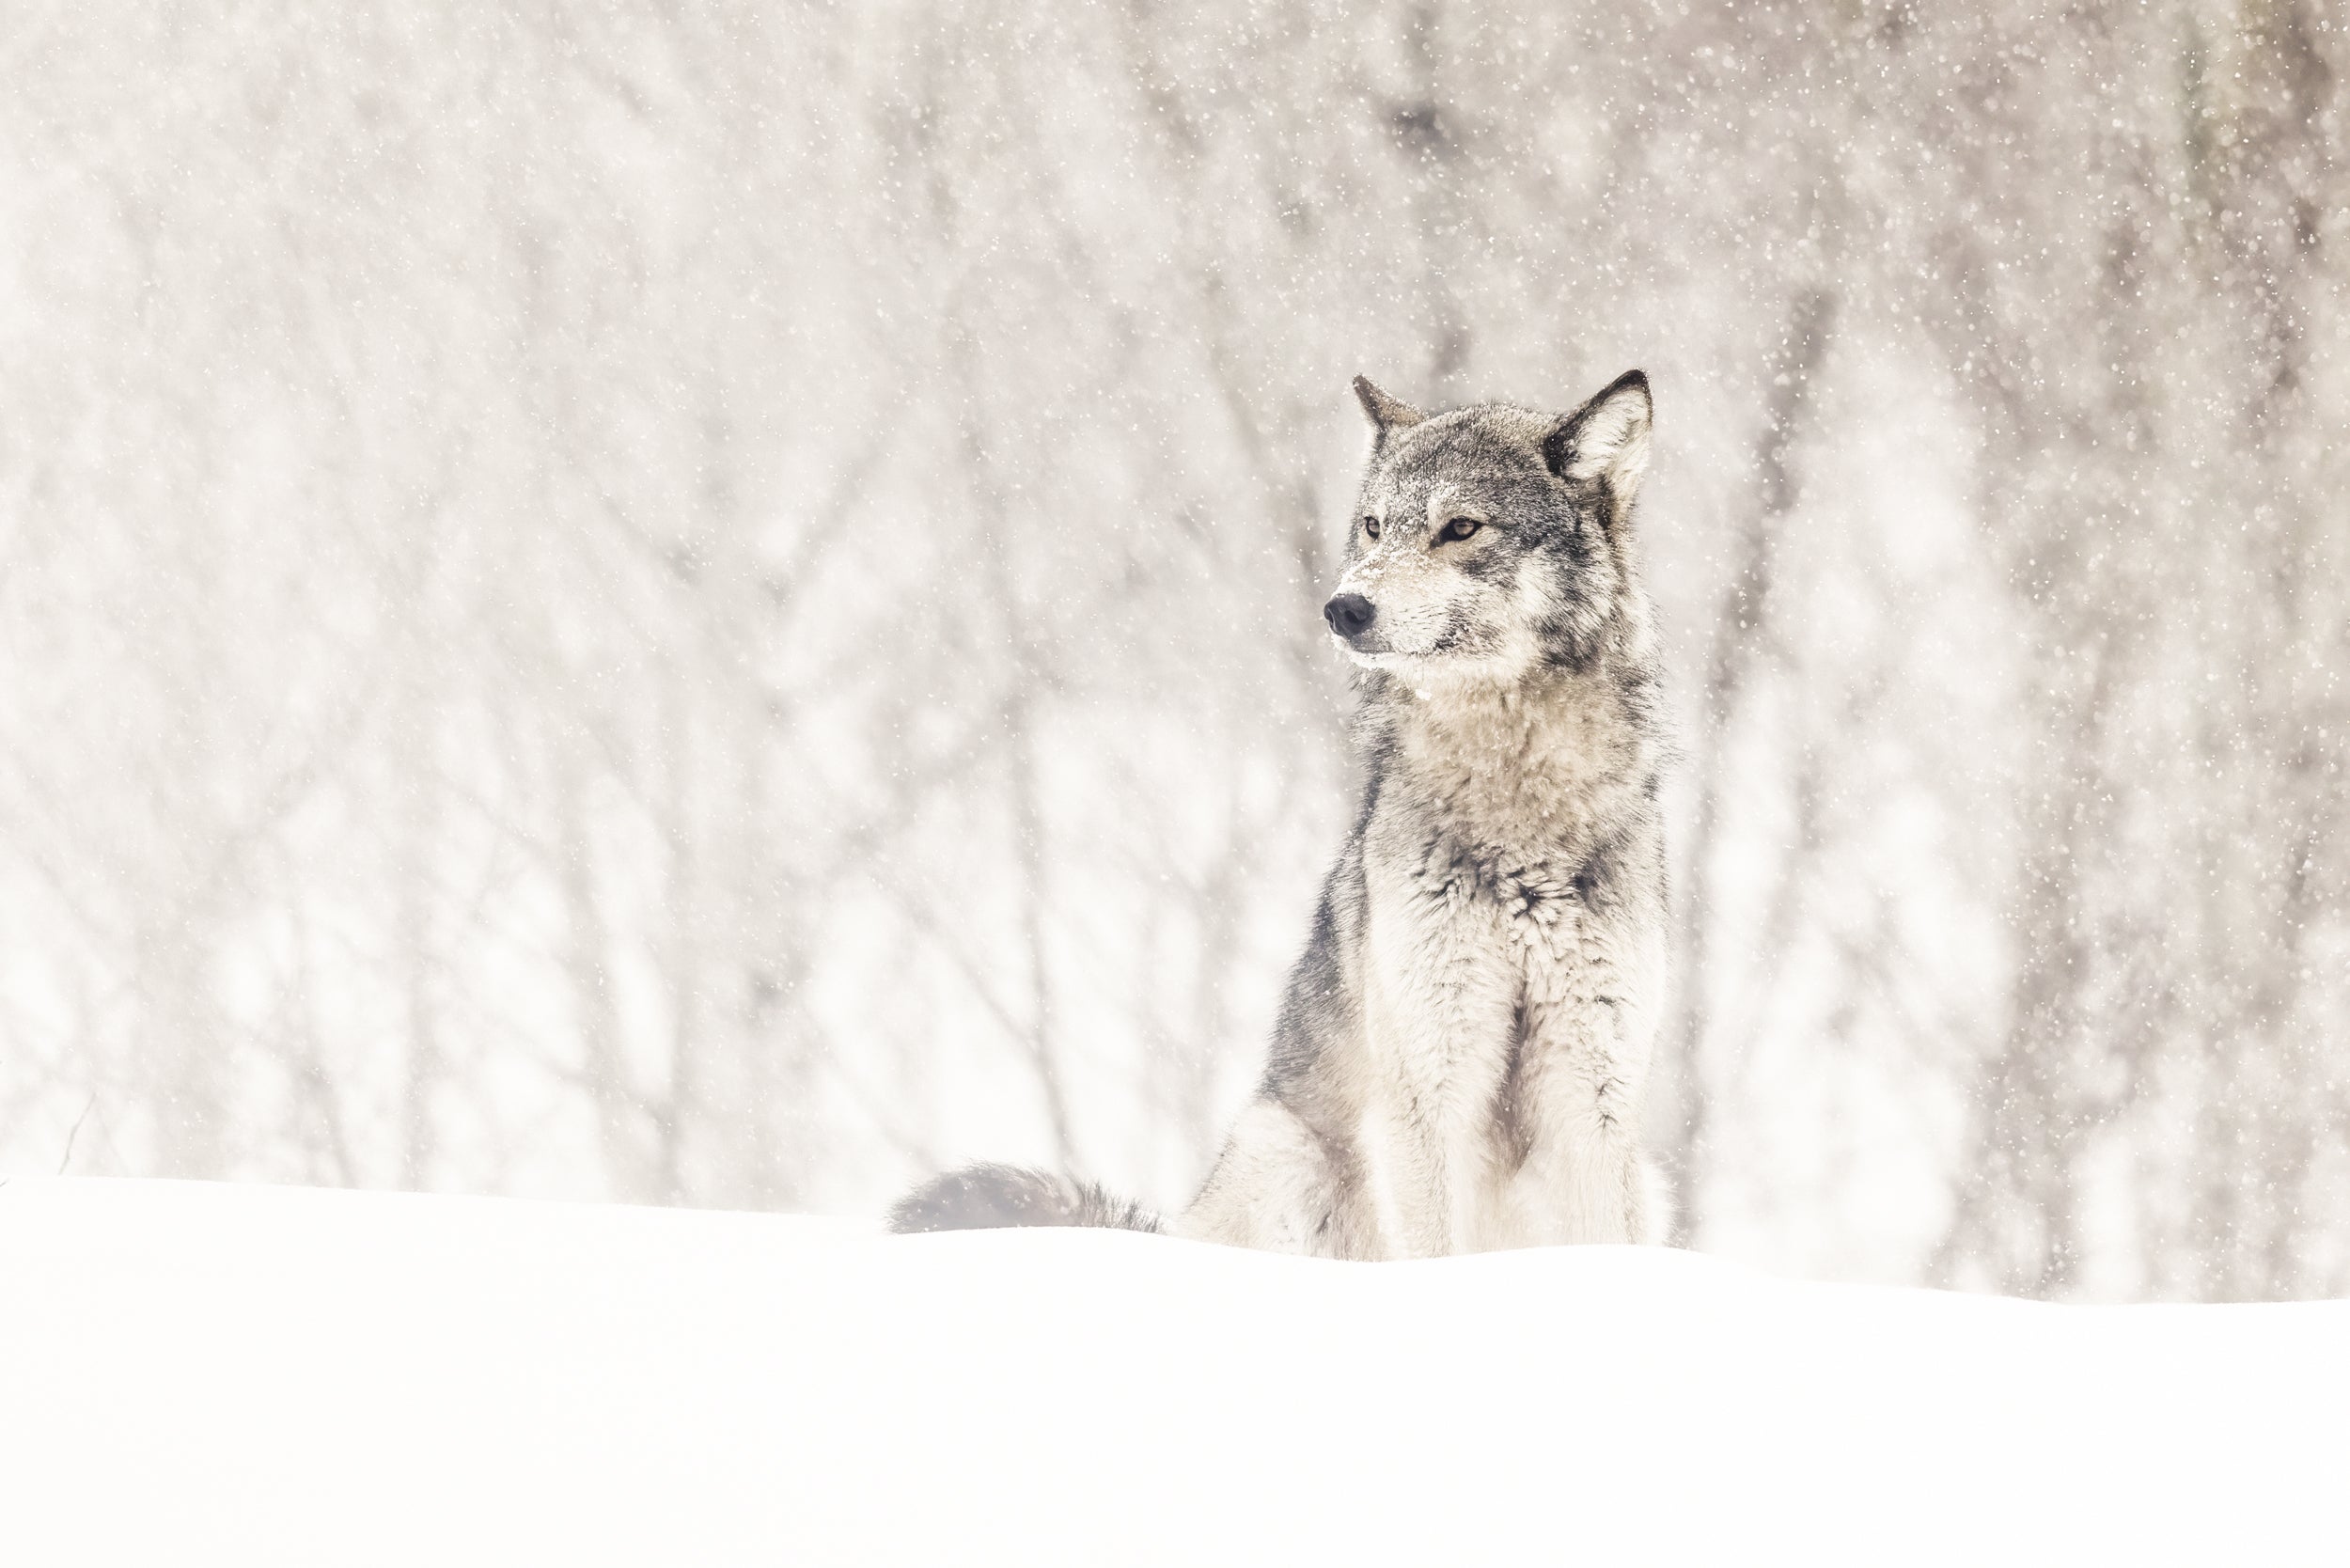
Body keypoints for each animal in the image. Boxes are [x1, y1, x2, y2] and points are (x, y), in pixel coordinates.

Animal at [891, 369, 1671, 1256]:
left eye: (1461, 528)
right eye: (1374, 526)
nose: (1344, 608)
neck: (1517, 803)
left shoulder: (1594, 1098)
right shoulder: (1427, 1090)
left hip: (1648, 1177)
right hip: (1288, 1154)